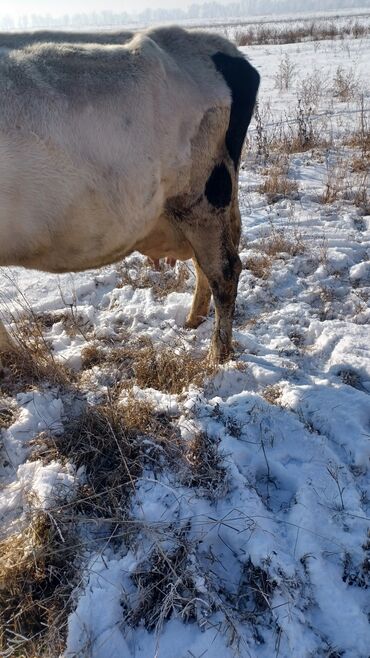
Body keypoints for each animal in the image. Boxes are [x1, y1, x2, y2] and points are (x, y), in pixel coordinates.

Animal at [0, 25, 260, 362]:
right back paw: (194, 320)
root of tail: (223, 49)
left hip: (202, 196)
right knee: (209, 261)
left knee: (225, 270)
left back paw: (217, 355)